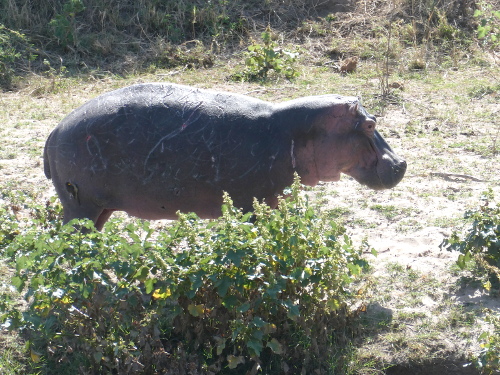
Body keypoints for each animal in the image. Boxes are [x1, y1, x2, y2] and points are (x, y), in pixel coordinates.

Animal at [44, 82, 406, 231]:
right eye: (370, 124)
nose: (401, 163)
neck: (298, 131)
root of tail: (56, 128)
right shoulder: (252, 207)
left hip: (98, 207)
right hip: (80, 206)